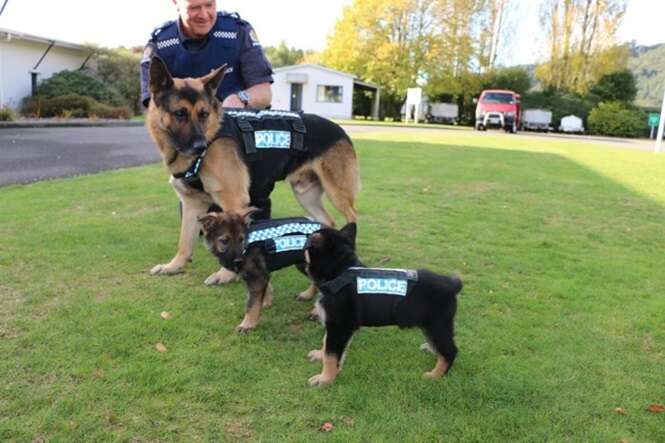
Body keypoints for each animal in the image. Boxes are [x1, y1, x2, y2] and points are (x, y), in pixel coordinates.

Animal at [302, 224, 462, 386]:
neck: (340, 272)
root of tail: (452, 284)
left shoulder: (339, 327)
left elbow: (331, 355)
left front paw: (325, 379)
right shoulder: (341, 327)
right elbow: (328, 345)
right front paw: (321, 357)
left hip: (437, 324)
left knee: (450, 351)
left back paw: (435, 375)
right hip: (431, 325)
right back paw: (430, 349)